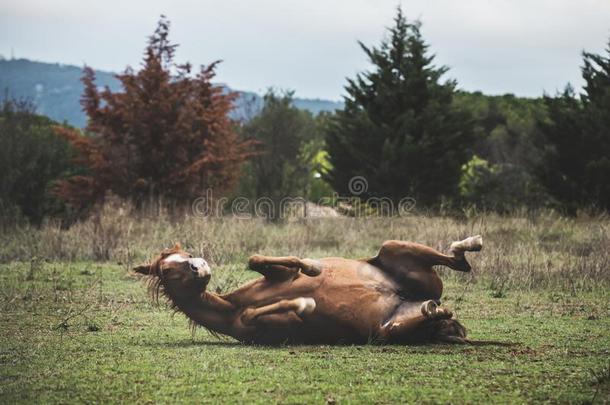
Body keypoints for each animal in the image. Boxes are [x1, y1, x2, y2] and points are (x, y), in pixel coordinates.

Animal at [133, 234, 480, 344]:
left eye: (186, 254)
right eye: (167, 269)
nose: (198, 266)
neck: (232, 309)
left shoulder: (278, 273)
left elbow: (258, 259)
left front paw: (312, 268)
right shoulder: (268, 327)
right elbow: (277, 311)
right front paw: (305, 303)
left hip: (391, 246)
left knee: (459, 263)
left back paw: (469, 244)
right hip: (390, 330)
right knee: (433, 310)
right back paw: (435, 309)